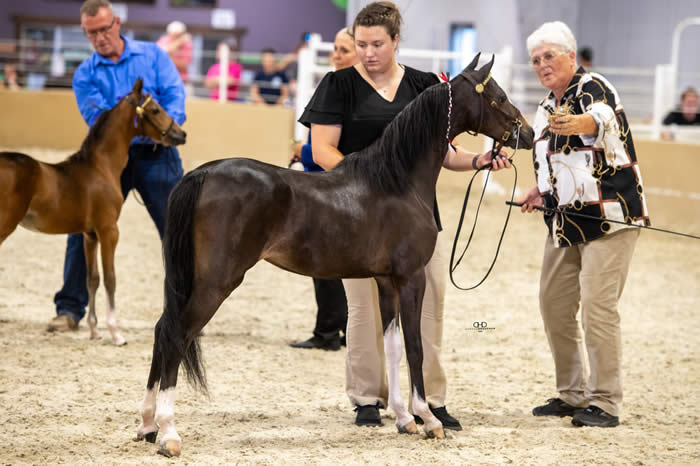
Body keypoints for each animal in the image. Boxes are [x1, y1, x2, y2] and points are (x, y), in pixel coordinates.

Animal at [0, 78, 186, 346]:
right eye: (155, 110)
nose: (181, 134)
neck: (100, 167)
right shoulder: (109, 231)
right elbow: (110, 279)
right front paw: (116, 334)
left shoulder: (89, 235)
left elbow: (93, 279)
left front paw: (94, 331)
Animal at [135, 54, 534, 457]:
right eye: (499, 97)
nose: (529, 134)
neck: (397, 182)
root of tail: (201, 174)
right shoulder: (411, 278)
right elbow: (415, 347)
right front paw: (429, 420)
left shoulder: (385, 282)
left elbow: (392, 347)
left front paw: (404, 419)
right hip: (217, 282)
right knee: (176, 335)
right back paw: (168, 433)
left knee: (162, 329)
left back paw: (147, 426)